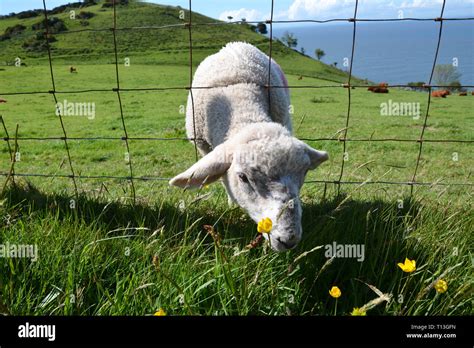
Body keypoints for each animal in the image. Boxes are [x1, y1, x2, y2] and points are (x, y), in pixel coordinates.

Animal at [170, 42, 330, 251]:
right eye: (243, 177)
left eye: (304, 173)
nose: (288, 240)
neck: (241, 97)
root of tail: (234, 45)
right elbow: (224, 181)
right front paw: (232, 204)